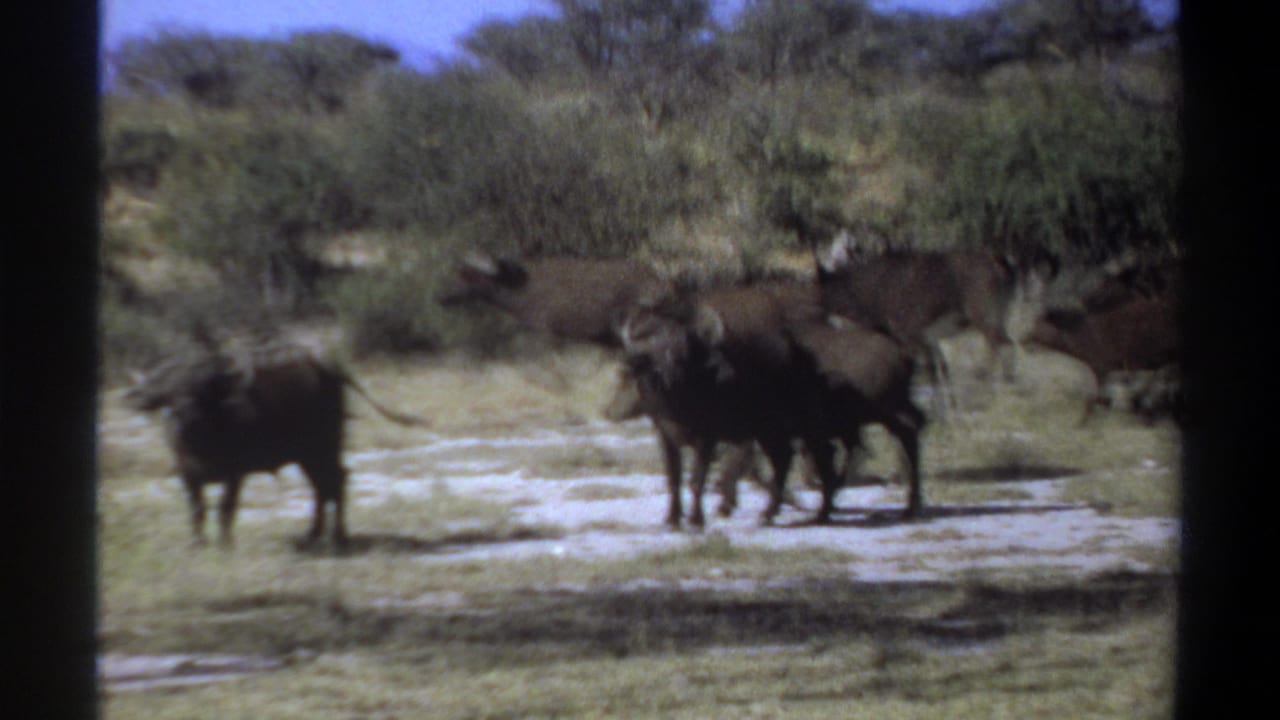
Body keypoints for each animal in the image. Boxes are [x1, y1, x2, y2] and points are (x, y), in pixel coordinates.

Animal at [126, 342, 430, 549]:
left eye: (202, 388)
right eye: (168, 391)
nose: (184, 413)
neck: (201, 441)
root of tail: (327, 367)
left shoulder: (235, 475)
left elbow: (225, 508)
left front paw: (225, 544)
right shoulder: (187, 476)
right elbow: (197, 510)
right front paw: (197, 544)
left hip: (323, 447)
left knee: (335, 481)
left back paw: (337, 536)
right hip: (307, 455)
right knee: (324, 485)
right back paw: (314, 535)